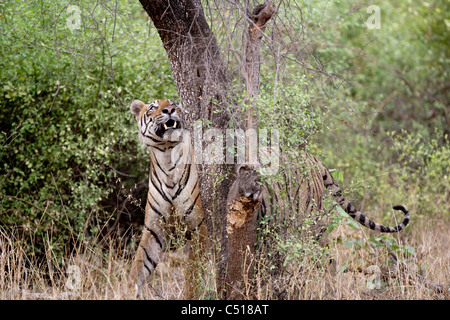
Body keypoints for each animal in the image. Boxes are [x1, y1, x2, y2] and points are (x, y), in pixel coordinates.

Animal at [128, 99, 207, 298]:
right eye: (152, 107)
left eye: (174, 103)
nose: (170, 110)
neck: (167, 157)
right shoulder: (154, 229)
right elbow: (138, 265)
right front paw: (126, 292)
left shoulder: (197, 226)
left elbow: (194, 273)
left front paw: (192, 294)